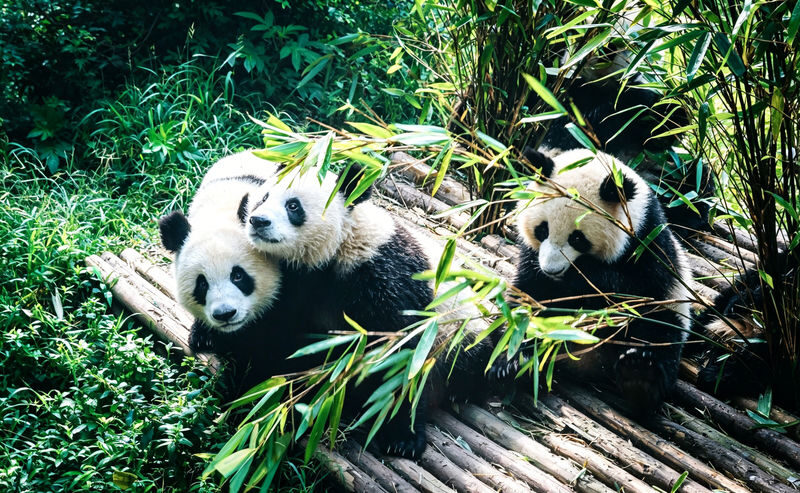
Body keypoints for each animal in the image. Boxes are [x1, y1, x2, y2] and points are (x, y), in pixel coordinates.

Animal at [240, 163, 493, 458]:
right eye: (263, 197)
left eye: (293, 206)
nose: (258, 221)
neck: (340, 246)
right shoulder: (298, 284)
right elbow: (284, 338)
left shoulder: (385, 274)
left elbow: (400, 354)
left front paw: (402, 438)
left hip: (459, 329)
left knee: (472, 359)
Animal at [493, 146, 692, 415]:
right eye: (542, 230)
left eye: (577, 238)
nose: (552, 269)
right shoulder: (531, 259)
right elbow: (528, 297)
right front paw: (510, 357)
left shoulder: (649, 242)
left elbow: (635, 290)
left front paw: (582, 276)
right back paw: (516, 365)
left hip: (669, 310)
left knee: (659, 333)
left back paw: (640, 378)